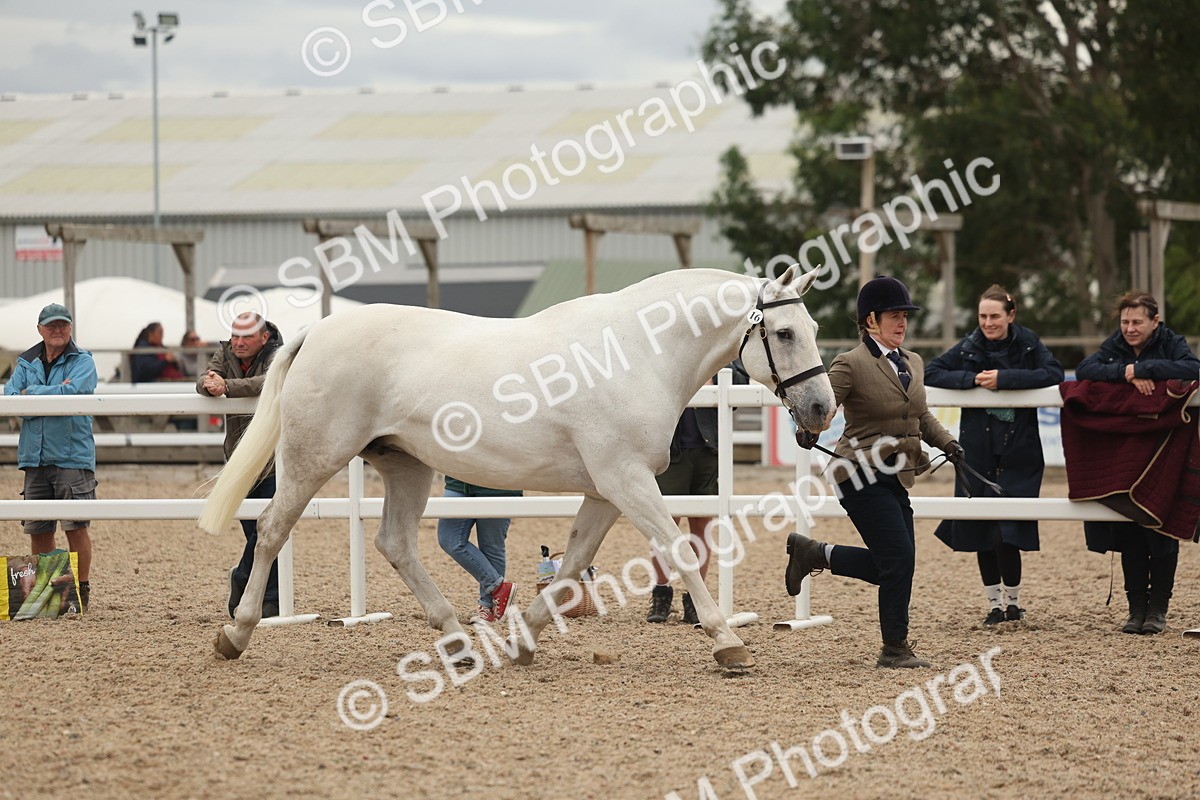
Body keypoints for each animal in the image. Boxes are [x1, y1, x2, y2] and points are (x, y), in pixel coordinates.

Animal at [199, 265, 835, 669]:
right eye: (783, 333)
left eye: (813, 330)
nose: (821, 410)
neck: (636, 353)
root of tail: (318, 330)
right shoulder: (627, 480)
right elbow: (678, 550)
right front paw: (727, 642)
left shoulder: (606, 490)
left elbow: (573, 560)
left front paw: (524, 641)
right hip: (313, 458)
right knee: (272, 531)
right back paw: (237, 633)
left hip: (406, 466)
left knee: (394, 542)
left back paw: (457, 641)